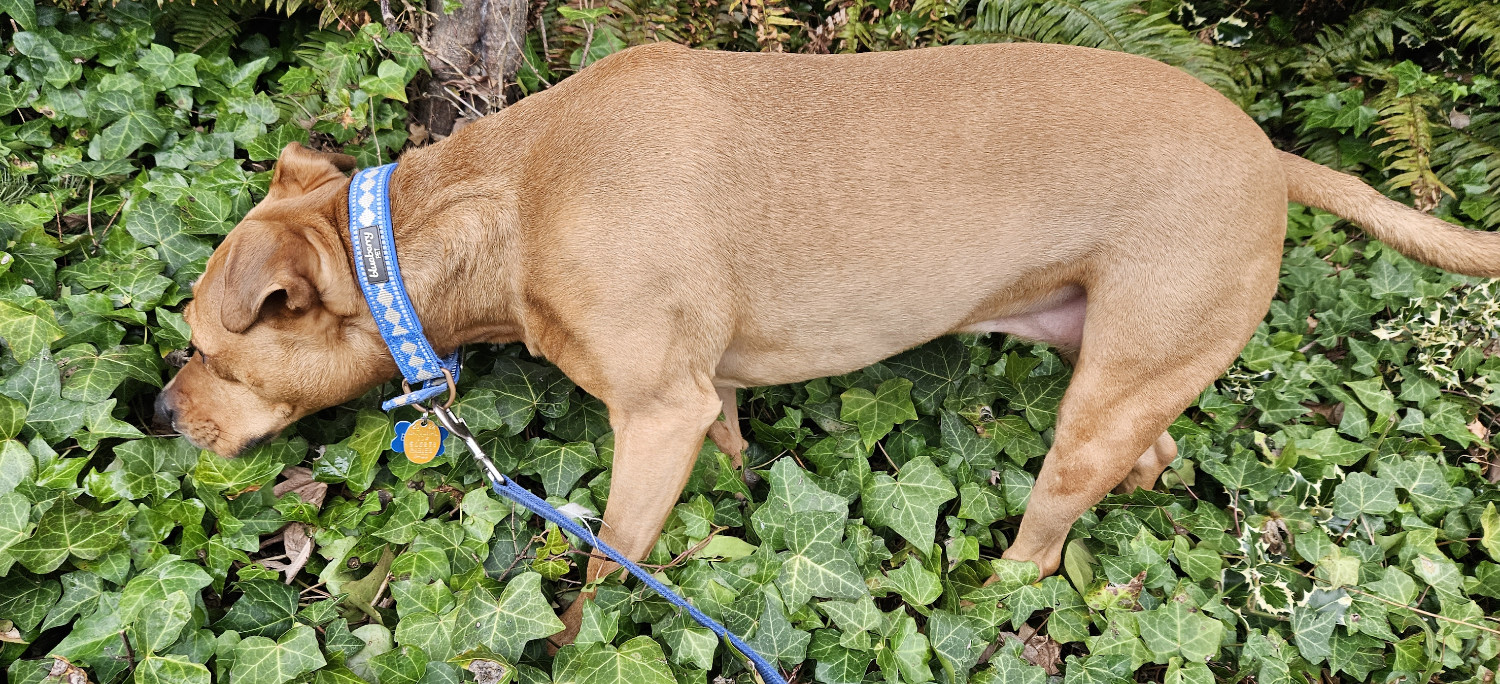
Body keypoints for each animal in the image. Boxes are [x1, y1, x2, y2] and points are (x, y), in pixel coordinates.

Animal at [161, 41, 1500, 642]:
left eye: (215, 353)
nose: (159, 412)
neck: (505, 200)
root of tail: (1268, 151)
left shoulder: (652, 418)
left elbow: (601, 570)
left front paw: (577, 639)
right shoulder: (700, 400)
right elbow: (733, 454)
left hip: (1091, 414)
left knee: (1044, 540)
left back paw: (1004, 598)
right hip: (1119, 365)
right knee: (1152, 453)